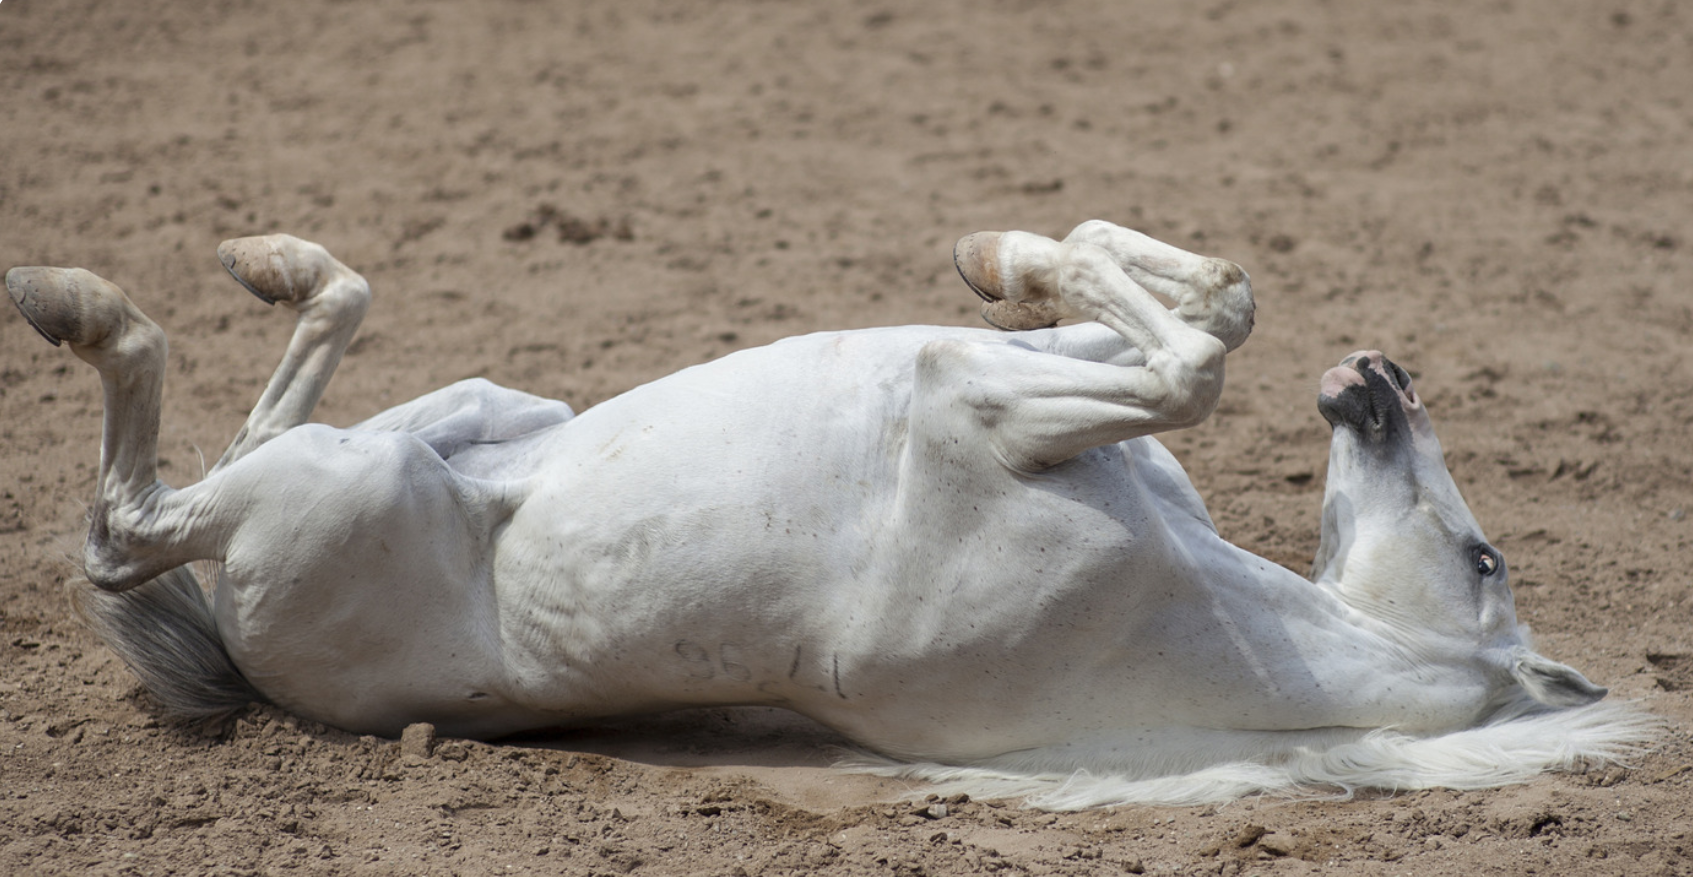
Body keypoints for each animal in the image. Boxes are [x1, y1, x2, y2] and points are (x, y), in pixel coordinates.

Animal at [9, 223, 1652, 809]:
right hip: (461, 416)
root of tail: (238, 656)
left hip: (336, 489)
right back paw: (272, 259)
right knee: (282, 384)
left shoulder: (986, 406)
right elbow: (1202, 311)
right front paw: (1009, 252)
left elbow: (1191, 360)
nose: (1380, 381)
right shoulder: (1024, 384)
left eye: (1486, 554)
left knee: (127, 521)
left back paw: (74, 299)